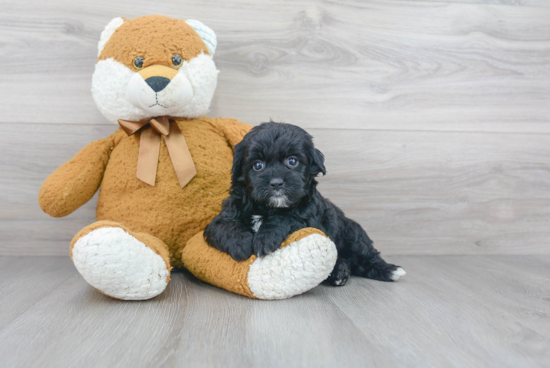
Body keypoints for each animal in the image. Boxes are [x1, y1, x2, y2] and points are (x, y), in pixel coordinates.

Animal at [205, 122, 408, 286]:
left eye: (292, 161)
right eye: (258, 165)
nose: (276, 183)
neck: (268, 207)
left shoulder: (309, 217)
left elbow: (287, 217)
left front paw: (265, 238)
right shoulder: (220, 219)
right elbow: (226, 226)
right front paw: (242, 245)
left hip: (352, 233)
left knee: (365, 256)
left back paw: (388, 270)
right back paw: (339, 272)